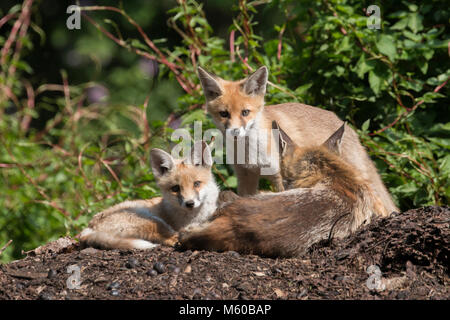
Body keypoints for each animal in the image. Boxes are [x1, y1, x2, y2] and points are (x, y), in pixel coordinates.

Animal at [81, 142, 221, 250]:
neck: (197, 216)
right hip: (151, 220)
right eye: (175, 188)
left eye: (196, 184)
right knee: (169, 238)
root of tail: (88, 228)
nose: (190, 203)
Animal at [197, 65, 398, 215]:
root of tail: (343, 123)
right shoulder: (245, 174)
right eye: (224, 114)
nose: (235, 131)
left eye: (245, 112)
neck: (250, 151)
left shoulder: (279, 173)